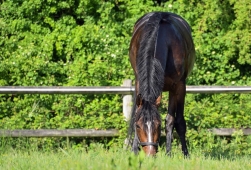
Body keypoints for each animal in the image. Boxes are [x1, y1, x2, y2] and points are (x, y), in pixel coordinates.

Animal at [128, 11, 195, 156]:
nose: (150, 154)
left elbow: (177, 121)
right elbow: (136, 114)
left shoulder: (179, 87)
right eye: (138, 126)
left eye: (157, 125)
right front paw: (134, 151)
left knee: (171, 120)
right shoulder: (138, 82)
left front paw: (183, 154)